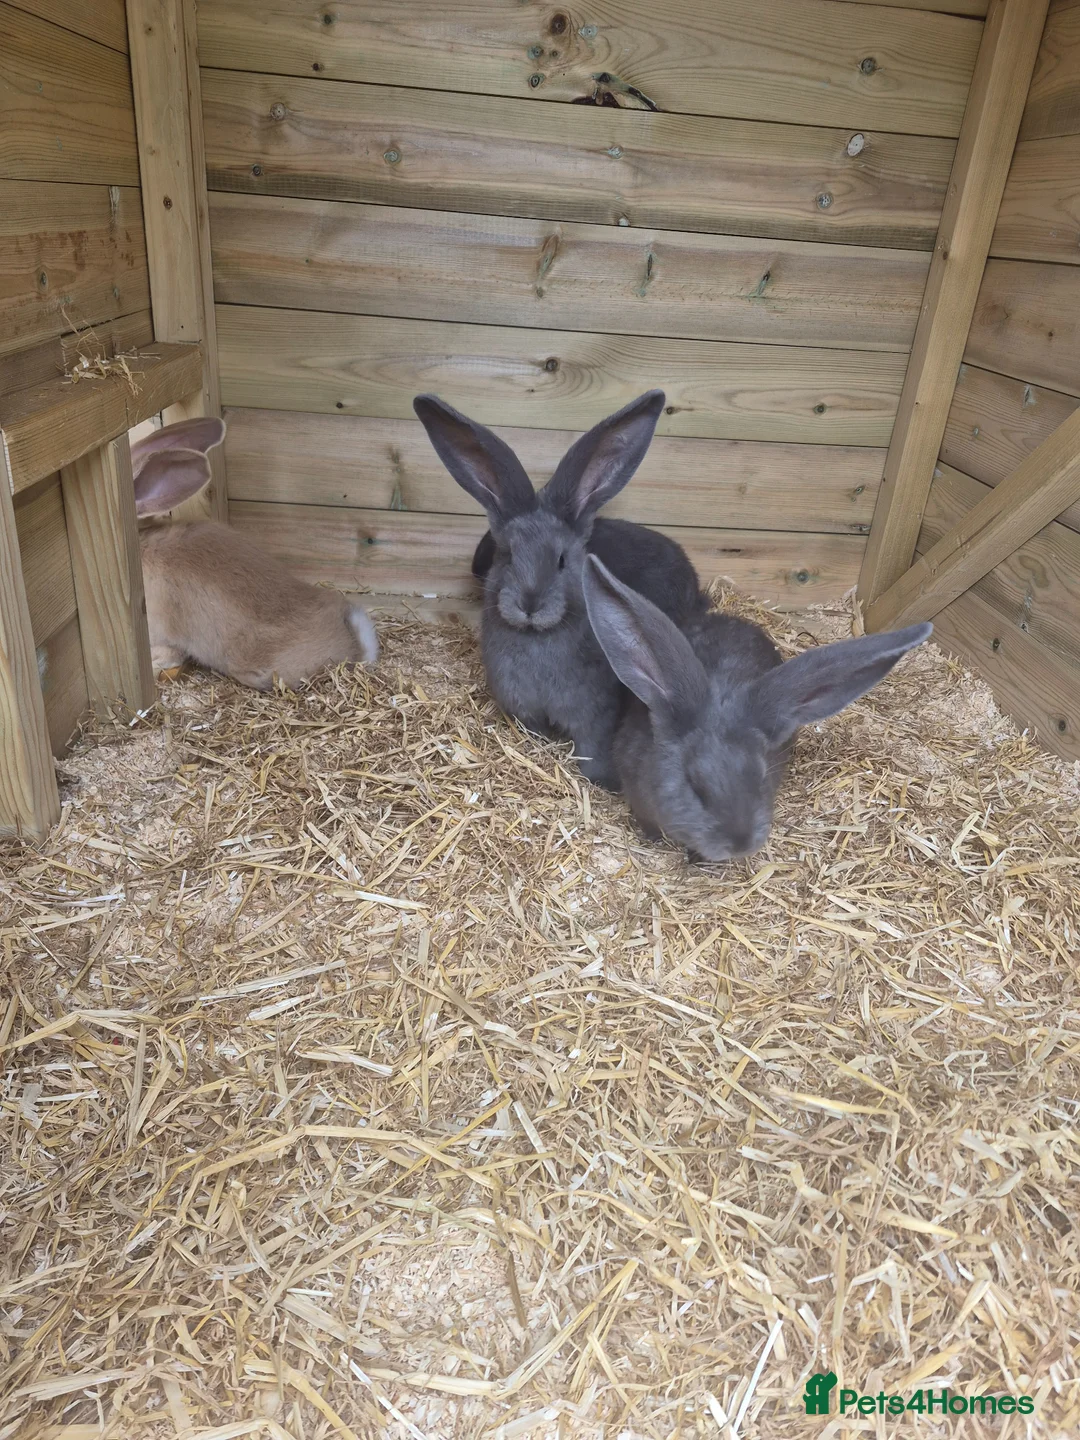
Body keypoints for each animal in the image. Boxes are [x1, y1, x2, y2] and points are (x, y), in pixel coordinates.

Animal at [413, 390, 705, 789]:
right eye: (506, 555)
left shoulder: (595, 715)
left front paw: (604, 780)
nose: (529, 604)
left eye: (562, 560)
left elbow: (592, 748)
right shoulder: (525, 712)